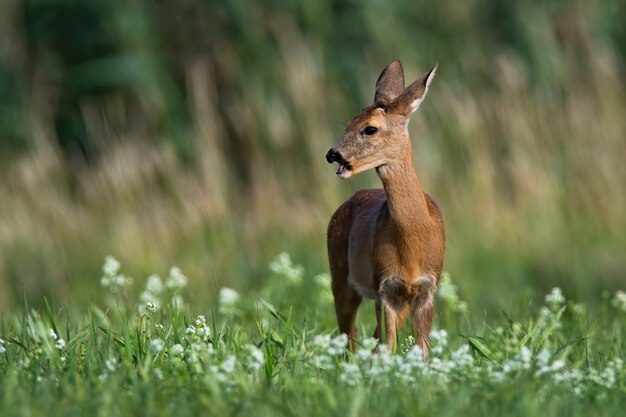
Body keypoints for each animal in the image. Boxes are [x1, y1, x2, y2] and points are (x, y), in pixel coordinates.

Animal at [324, 60, 442, 356]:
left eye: (370, 128)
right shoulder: (384, 286)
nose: (332, 154)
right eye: (348, 122)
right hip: (340, 276)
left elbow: (422, 350)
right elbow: (389, 346)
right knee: (350, 337)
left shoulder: (427, 288)